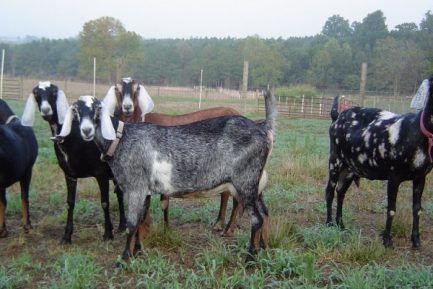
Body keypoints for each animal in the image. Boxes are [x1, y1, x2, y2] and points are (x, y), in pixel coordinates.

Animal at [20, 81, 125, 243]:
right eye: (36, 93)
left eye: (54, 92)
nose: (46, 110)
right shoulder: (69, 174)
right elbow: (70, 203)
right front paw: (66, 236)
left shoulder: (101, 173)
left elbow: (104, 202)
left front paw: (108, 234)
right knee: (119, 193)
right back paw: (121, 226)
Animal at [55, 91, 276, 262]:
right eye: (76, 111)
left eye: (97, 110)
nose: (86, 130)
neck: (121, 139)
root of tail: (262, 128)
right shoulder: (145, 190)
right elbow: (140, 220)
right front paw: (138, 251)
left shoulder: (135, 187)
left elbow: (132, 224)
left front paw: (124, 258)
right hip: (254, 184)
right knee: (265, 213)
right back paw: (264, 249)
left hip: (245, 181)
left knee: (256, 218)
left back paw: (250, 257)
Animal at [324, 75, 432, 248]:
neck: (416, 130)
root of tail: (337, 116)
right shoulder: (394, 176)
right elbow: (391, 208)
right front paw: (387, 240)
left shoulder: (421, 177)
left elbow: (417, 209)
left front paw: (416, 240)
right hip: (335, 162)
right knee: (330, 191)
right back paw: (329, 223)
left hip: (349, 170)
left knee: (341, 193)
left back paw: (341, 224)